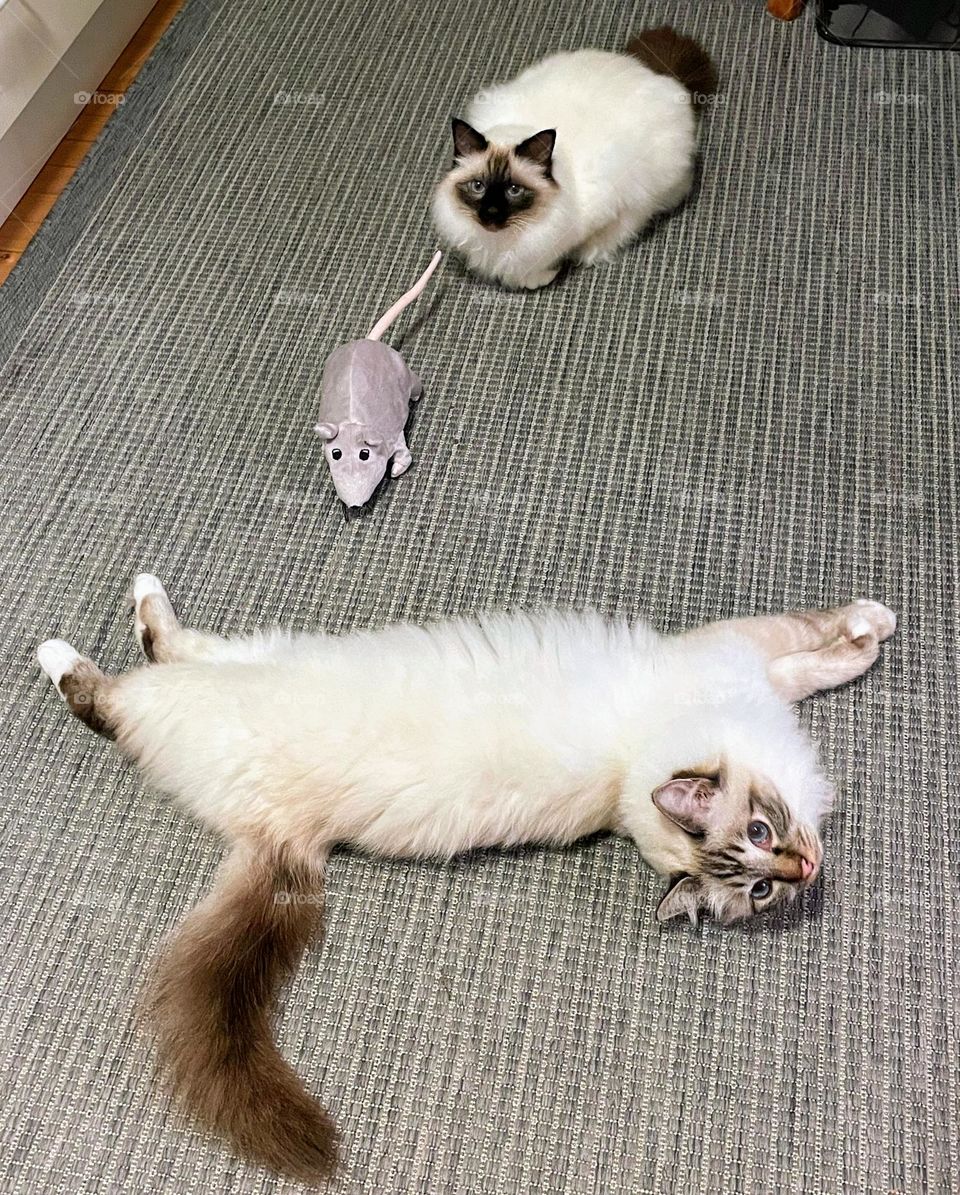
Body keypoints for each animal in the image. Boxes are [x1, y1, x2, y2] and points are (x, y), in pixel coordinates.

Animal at [432, 25, 717, 289]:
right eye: (478, 186)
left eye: (514, 190)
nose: (490, 214)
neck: (500, 241)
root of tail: (657, 73)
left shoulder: (610, 205)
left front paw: (546, 275)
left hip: (653, 185)